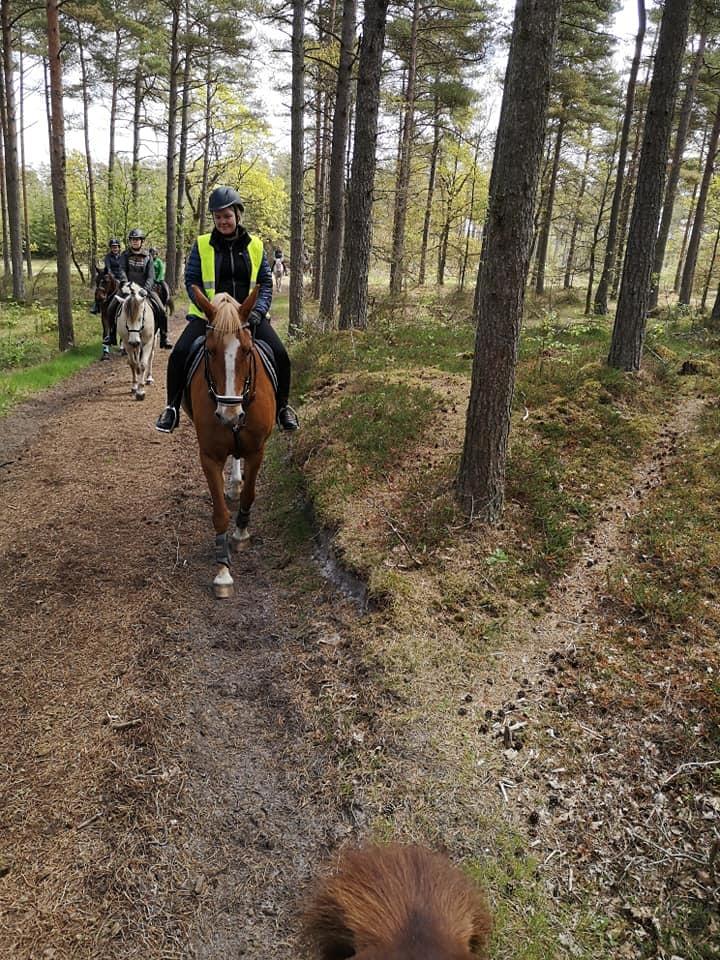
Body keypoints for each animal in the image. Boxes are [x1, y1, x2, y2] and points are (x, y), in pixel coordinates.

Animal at [186, 284, 276, 600]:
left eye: (247, 351)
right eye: (210, 351)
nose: (229, 413)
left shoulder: (257, 450)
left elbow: (250, 494)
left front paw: (240, 534)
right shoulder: (209, 457)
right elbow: (220, 515)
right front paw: (223, 572)